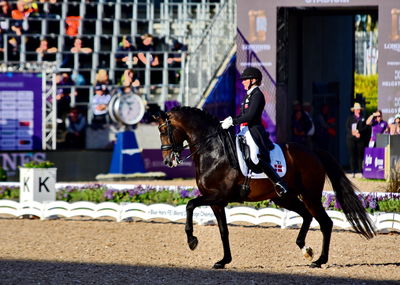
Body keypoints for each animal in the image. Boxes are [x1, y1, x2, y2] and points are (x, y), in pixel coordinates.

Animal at [155, 106, 376, 268]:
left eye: (163, 130)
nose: (167, 161)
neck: (213, 151)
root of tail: (313, 152)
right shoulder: (217, 202)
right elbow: (223, 231)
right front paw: (223, 261)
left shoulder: (218, 196)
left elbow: (190, 205)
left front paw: (192, 241)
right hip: (284, 197)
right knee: (307, 216)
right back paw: (305, 249)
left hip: (310, 195)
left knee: (325, 223)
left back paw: (319, 260)